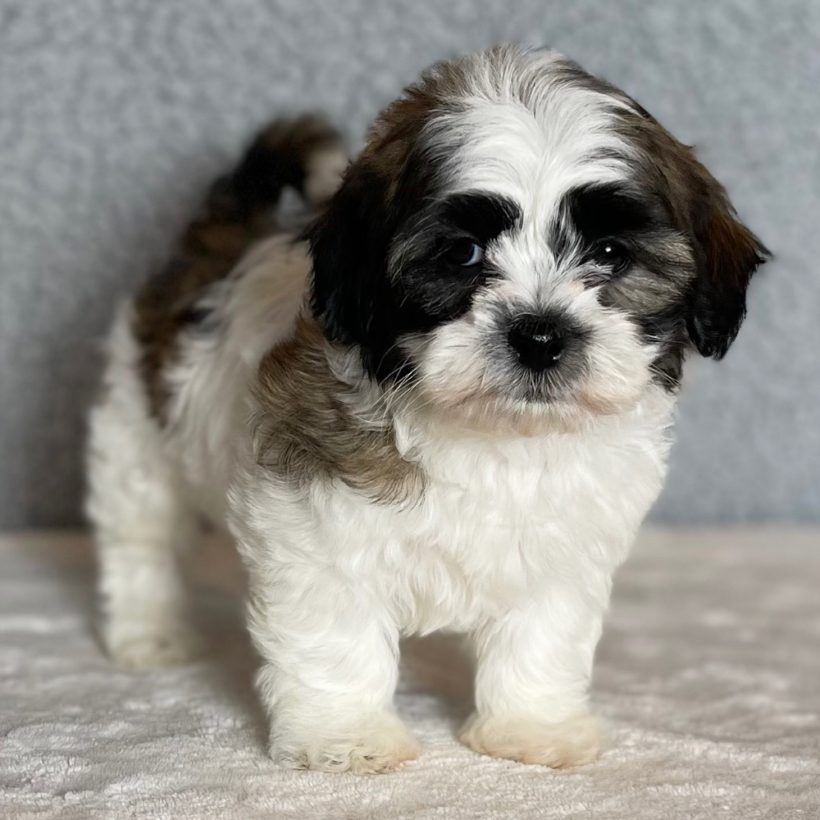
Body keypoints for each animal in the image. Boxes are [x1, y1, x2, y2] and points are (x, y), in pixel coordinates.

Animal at [89, 46, 768, 776]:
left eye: (611, 254)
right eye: (463, 253)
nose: (539, 334)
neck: (498, 435)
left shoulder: (565, 542)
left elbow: (544, 631)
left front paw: (532, 727)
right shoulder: (313, 519)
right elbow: (336, 633)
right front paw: (346, 735)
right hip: (135, 429)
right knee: (140, 535)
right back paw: (150, 632)